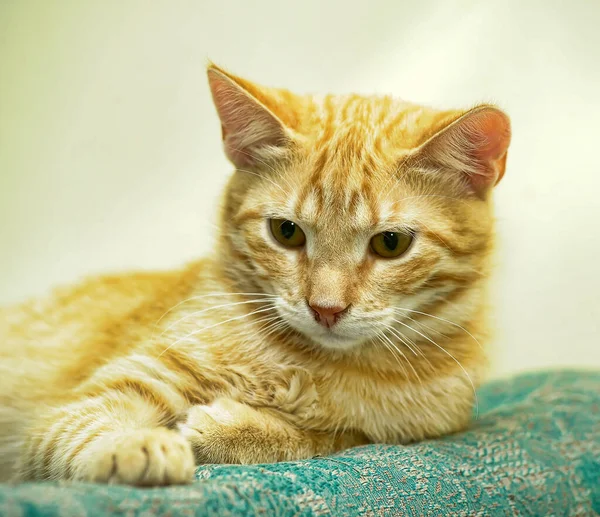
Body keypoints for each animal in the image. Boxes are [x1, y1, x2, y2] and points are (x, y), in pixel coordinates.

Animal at [0, 63, 510, 484]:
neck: (317, 365)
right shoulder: (110, 390)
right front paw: (134, 445)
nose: (326, 309)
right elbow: (83, 422)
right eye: (286, 233)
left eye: (391, 243)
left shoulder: (397, 433)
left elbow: (320, 437)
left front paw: (230, 430)